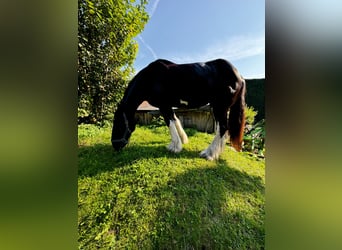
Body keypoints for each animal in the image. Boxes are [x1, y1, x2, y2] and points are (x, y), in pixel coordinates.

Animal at [112, 58, 246, 160]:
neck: (149, 78)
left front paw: (175, 147)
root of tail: (239, 76)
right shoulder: (167, 106)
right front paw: (182, 141)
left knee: (223, 128)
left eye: (118, 123)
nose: (115, 146)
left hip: (220, 107)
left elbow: (170, 123)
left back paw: (209, 154)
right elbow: (175, 120)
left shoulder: (164, 105)